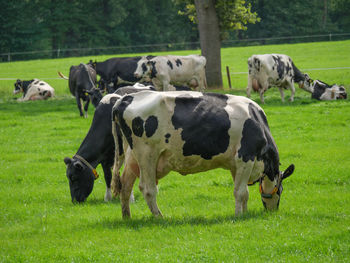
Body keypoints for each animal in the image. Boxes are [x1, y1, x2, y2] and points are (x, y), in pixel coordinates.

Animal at [113, 91, 296, 219]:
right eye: (281, 189)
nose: (272, 211)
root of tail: (126, 98)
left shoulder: (236, 164)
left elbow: (243, 192)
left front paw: (244, 212)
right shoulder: (245, 157)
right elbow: (240, 192)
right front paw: (239, 216)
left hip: (131, 157)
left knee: (125, 186)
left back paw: (127, 216)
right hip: (147, 154)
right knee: (148, 188)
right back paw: (160, 217)